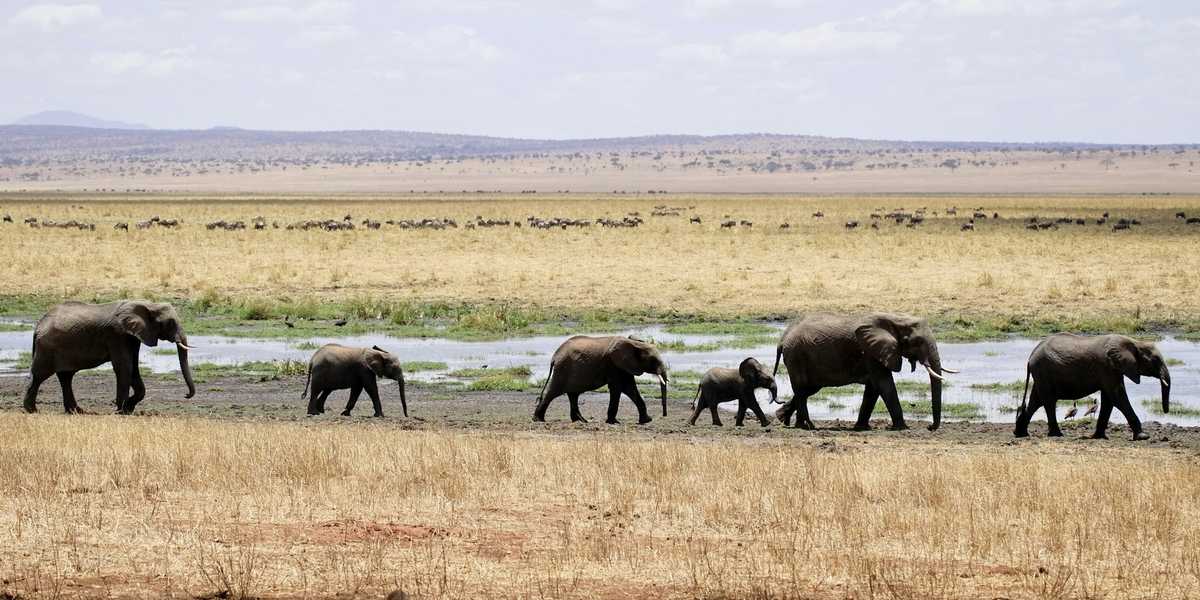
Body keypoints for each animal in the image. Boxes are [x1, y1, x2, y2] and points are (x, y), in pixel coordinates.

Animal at [23, 300, 196, 414]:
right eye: (171, 323)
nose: (186, 395)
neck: (148, 304)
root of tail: (38, 326)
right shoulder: (117, 335)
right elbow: (124, 366)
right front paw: (120, 411)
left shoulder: (132, 336)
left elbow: (133, 367)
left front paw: (127, 408)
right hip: (47, 348)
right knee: (39, 375)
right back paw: (32, 410)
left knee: (66, 377)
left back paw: (77, 411)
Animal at [533, 335, 668, 424]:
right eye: (653, 360)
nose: (664, 415)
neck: (634, 343)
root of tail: (554, 357)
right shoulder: (613, 365)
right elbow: (617, 388)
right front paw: (614, 422)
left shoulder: (624, 366)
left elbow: (630, 388)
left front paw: (646, 420)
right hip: (562, 369)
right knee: (553, 392)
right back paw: (538, 420)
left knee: (573, 395)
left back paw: (581, 421)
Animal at [772, 313, 955, 431]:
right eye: (917, 342)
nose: (930, 427)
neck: (895, 319)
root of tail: (782, 339)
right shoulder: (872, 352)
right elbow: (885, 384)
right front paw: (902, 428)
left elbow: (873, 388)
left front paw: (861, 428)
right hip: (797, 356)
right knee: (802, 389)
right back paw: (807, 426)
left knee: (807, 389)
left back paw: (786, 420)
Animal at [1013, 333, 1170, 440]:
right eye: (1155, 360)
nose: (1166, 411)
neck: (1135, 342)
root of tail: (1030, 357)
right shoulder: (1108, 367)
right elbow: (1117, 397)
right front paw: (1143, 437)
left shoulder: (1113, 369)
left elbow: (1109, 400)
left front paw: (1099, 437)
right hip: (1043, 371)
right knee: (1049, 402)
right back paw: (1057, 435)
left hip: (1041, 375)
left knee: (1036, 401)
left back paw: (1021, 433)